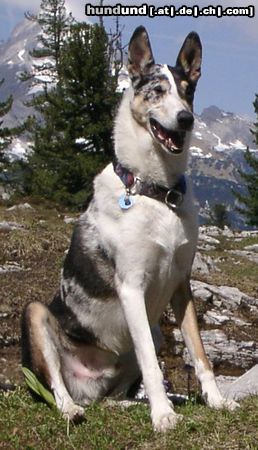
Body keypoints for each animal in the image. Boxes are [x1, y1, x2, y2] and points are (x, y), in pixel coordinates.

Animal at [21, 25, 239, 432]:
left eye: (188, 90)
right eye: (157, 91)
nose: (186, 119)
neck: (157, 194)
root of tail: (88, 386)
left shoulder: (181, 284)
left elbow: (200, 354)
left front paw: (216, 401)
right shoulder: (132, 287)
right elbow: (152, 364)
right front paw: (163, 416)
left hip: (149, 334)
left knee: (112, 397)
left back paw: (131, 404)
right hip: (37, 314)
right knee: (58, 387)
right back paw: (72, 409)